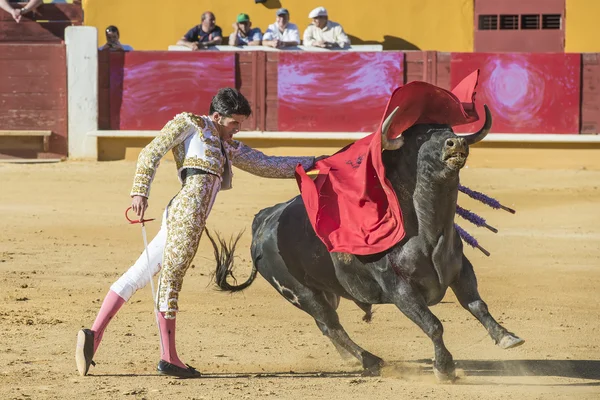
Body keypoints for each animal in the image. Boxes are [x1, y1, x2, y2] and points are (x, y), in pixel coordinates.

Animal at [207, 106, 524, 382]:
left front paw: (507, 337)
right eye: (419, 138)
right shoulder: (399, 288)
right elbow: (433, 324)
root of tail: (263, 219)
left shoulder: (460, 270)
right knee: (330, 325)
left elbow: (477, 304)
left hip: (326, 291)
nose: (456, 142)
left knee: (327, 325)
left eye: (451, 129)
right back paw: (372, 361)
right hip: (299, 292)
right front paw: (445, 369)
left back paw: (354, 359)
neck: (427, 230)